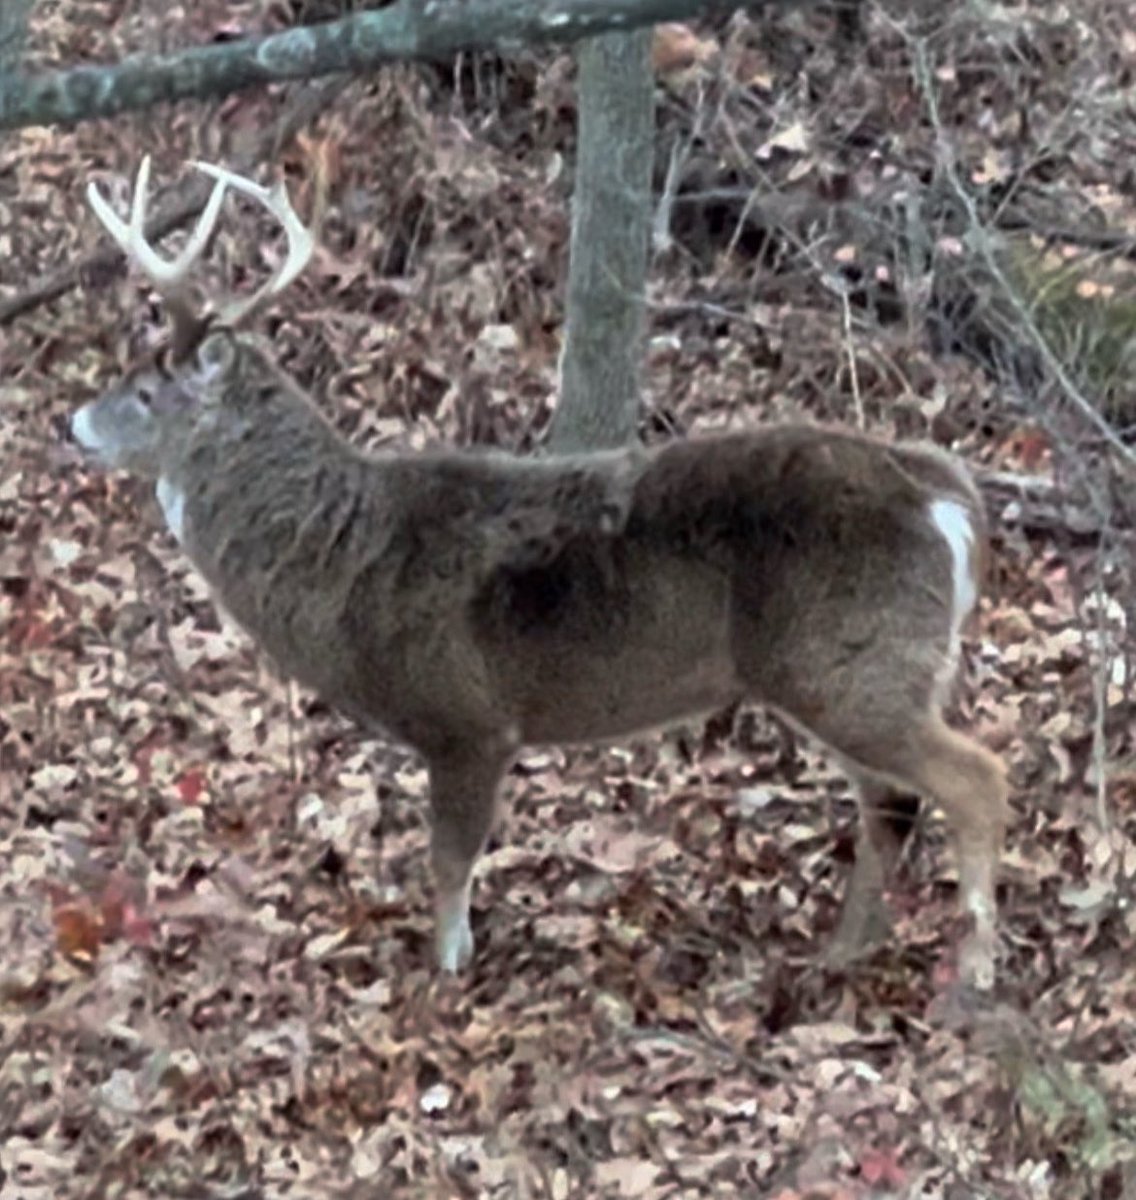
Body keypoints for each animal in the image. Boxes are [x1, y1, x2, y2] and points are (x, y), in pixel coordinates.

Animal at [70, 157, 1010, 990]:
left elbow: (449, 859)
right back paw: (844, 952)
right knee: (892, 804)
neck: (343, 560)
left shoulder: (465, 717)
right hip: (854, 667)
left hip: (849, 659)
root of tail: (944, 497)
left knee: (974, 780)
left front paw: (447, 969)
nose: (75, 420)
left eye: (148, 391)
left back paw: (975, 969)